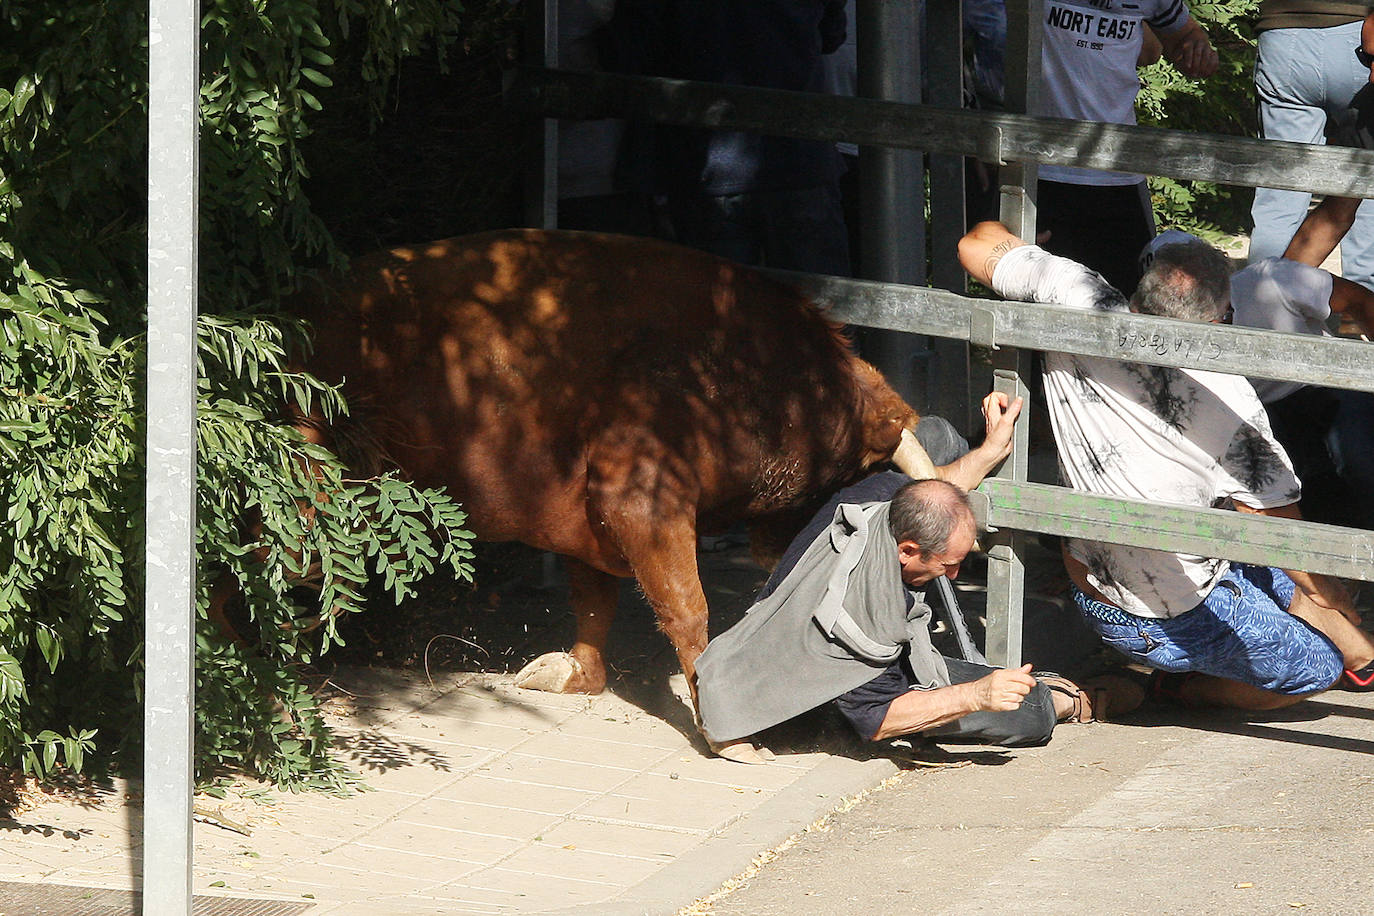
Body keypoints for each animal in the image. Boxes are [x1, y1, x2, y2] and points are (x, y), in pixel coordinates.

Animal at [292, 227, 934, 708]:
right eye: (854, 478)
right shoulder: (642, 497)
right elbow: (685, 606)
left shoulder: (589, 515)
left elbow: (595, 600)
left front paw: (573, 675)